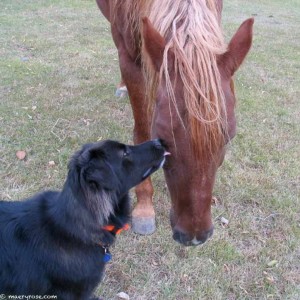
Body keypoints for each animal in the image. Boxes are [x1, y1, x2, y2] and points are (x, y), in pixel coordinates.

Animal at [96, 0, 253, 246]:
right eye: (163, 141)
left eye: (229, 137)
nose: (194, 236)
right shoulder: (130, 60)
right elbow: (142, 131)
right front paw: (144, 207)